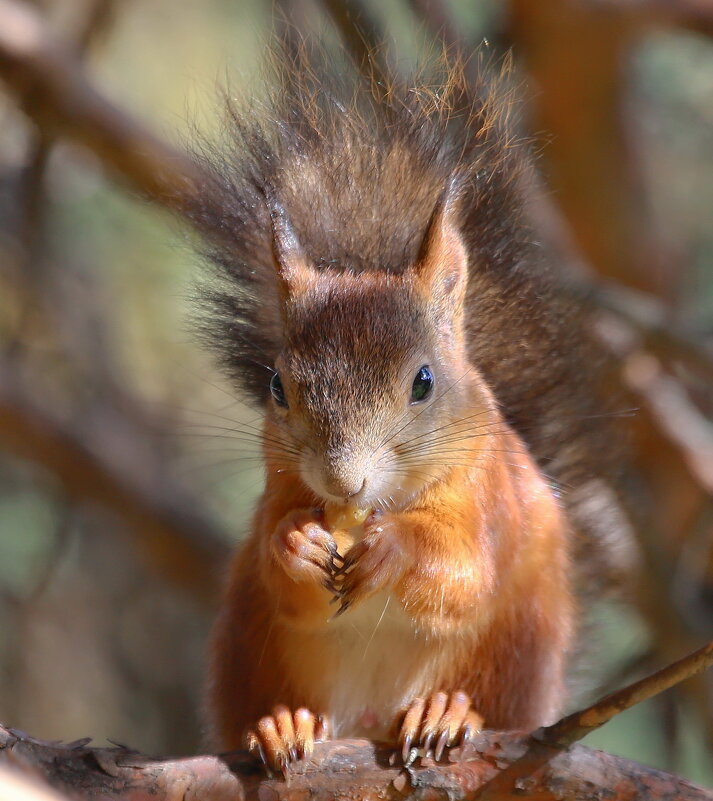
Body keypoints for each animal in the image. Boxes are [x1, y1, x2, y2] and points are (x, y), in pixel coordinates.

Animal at [197, 53, 616, 772]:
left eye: (423, 382)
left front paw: (393, 549)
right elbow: (284, 578)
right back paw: (280, 722)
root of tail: (366, 719)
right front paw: (298, 542)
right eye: (277, 386)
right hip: (248, 646)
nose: (341, 482)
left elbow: (463, 571)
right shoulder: (278, 492)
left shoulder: (487, 496)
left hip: (515, 647)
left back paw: (445, 711)